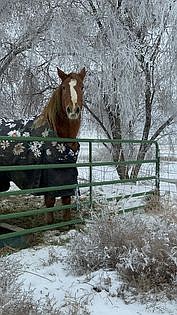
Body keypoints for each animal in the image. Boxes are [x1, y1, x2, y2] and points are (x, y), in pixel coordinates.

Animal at [0, 67, 86, 225]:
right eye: (63, 87)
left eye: (82, 87)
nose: (73, 110)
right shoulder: (48, 178)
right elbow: (50, 202)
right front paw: (49, 223)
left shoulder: (66, 178)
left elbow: (66, 200)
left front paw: (67, 222)